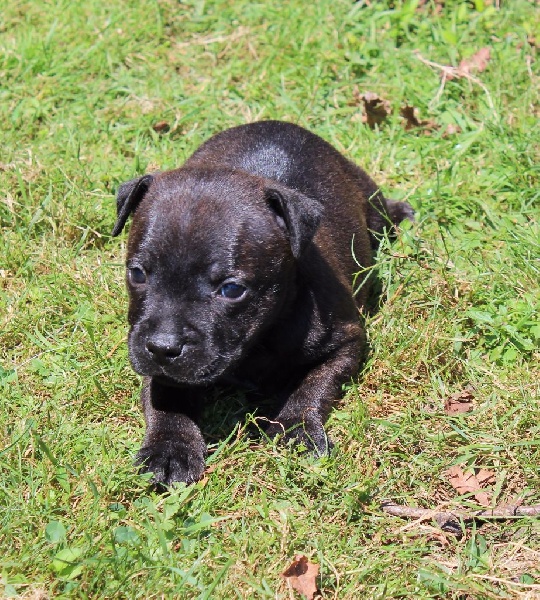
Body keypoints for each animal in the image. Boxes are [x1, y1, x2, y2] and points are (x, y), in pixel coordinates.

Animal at [110, 119, 414, 486]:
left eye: (231, 290)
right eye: (137, 274)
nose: (163, 347)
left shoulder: (346, 343)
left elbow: (313, 385)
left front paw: (297, 429)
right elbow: (165, 398)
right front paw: (169, 449)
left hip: (369, 200)